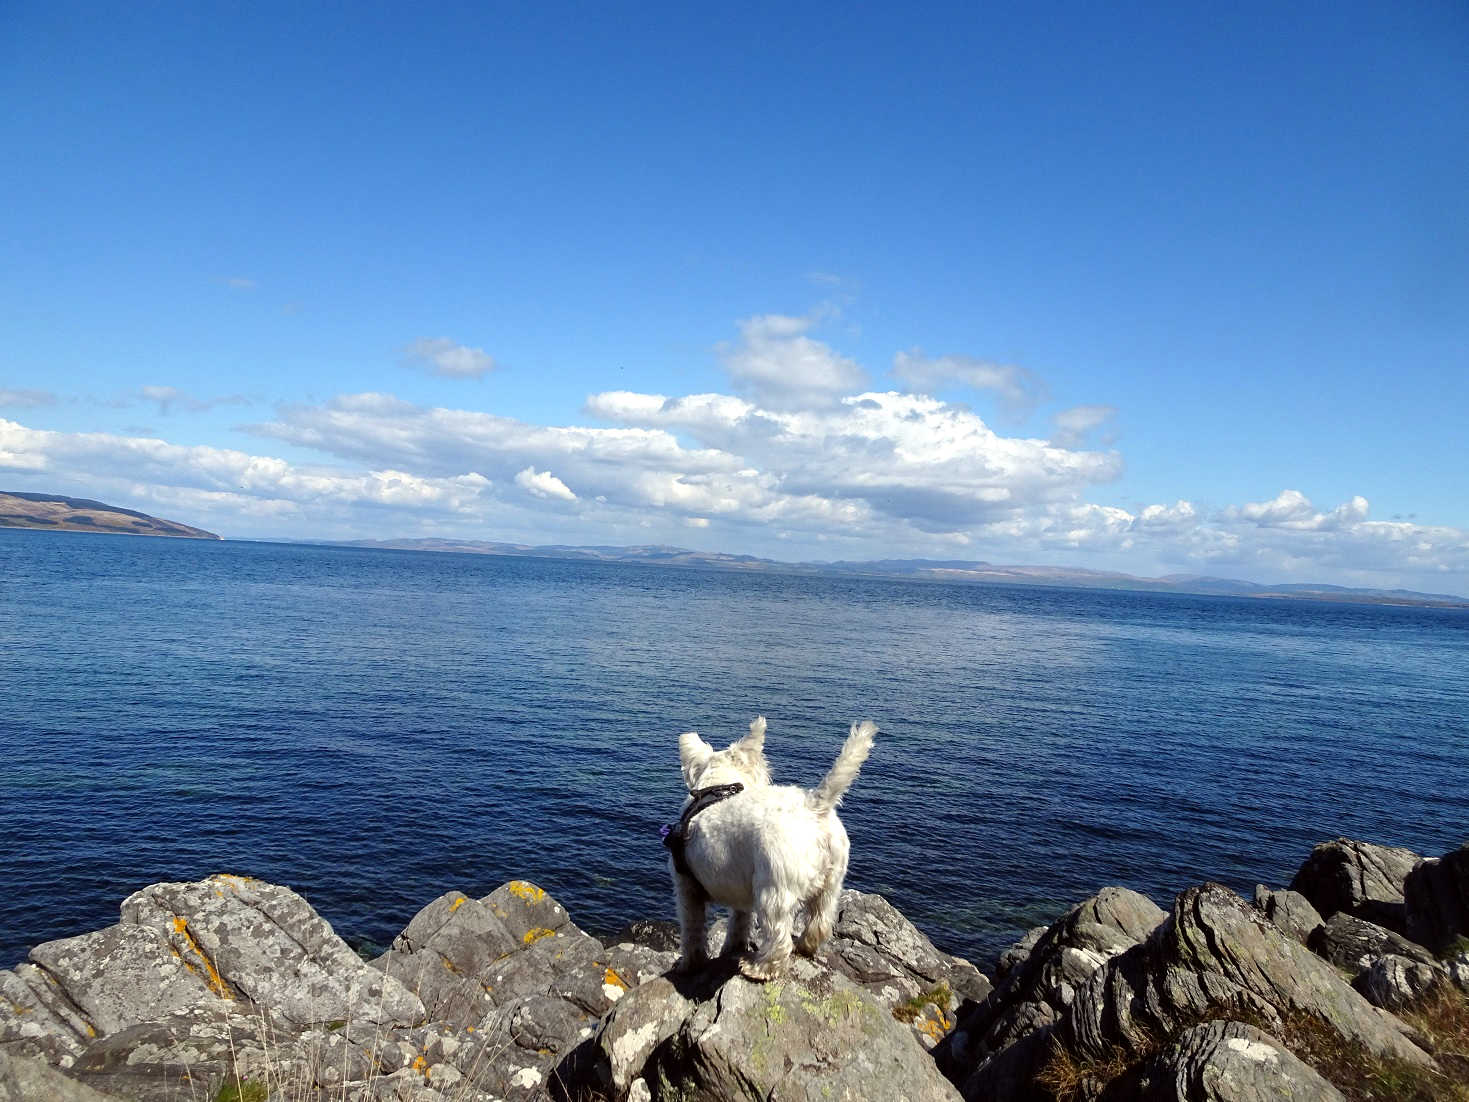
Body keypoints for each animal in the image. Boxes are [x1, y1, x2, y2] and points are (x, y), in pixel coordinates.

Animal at [672, 717, 875, 981]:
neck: (718, 786)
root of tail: (814, 808)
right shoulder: (739, 890)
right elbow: (739, 923)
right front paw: (732, 948)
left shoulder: (686, 888)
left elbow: (692, 930)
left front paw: (689, 965)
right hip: (831, 884)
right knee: (819, 921)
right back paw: (805, 946)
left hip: (774, 891)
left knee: (779, 938)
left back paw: (758, 968)